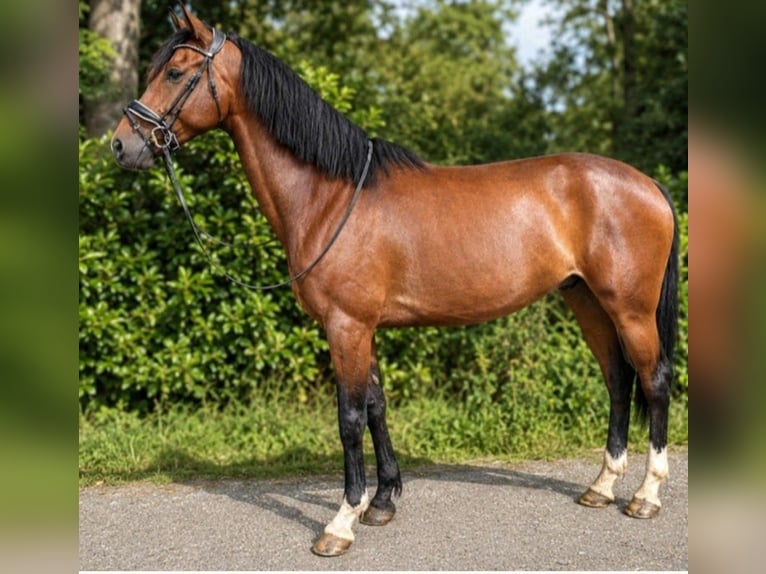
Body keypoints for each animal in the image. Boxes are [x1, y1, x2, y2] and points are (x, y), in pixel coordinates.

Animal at [111, 4, 679, 557]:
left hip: (629, 308)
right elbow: (376, 406)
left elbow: (349, 417)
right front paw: (382, 501)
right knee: (618, 379)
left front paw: (342, 521)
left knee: (653, 380)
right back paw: (601, 487)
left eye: (175, 72)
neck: (332, 196)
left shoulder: (347, 326)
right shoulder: (363, 327)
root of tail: (648, 183)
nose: (120, 145)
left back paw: (646, 496)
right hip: (587, 301)